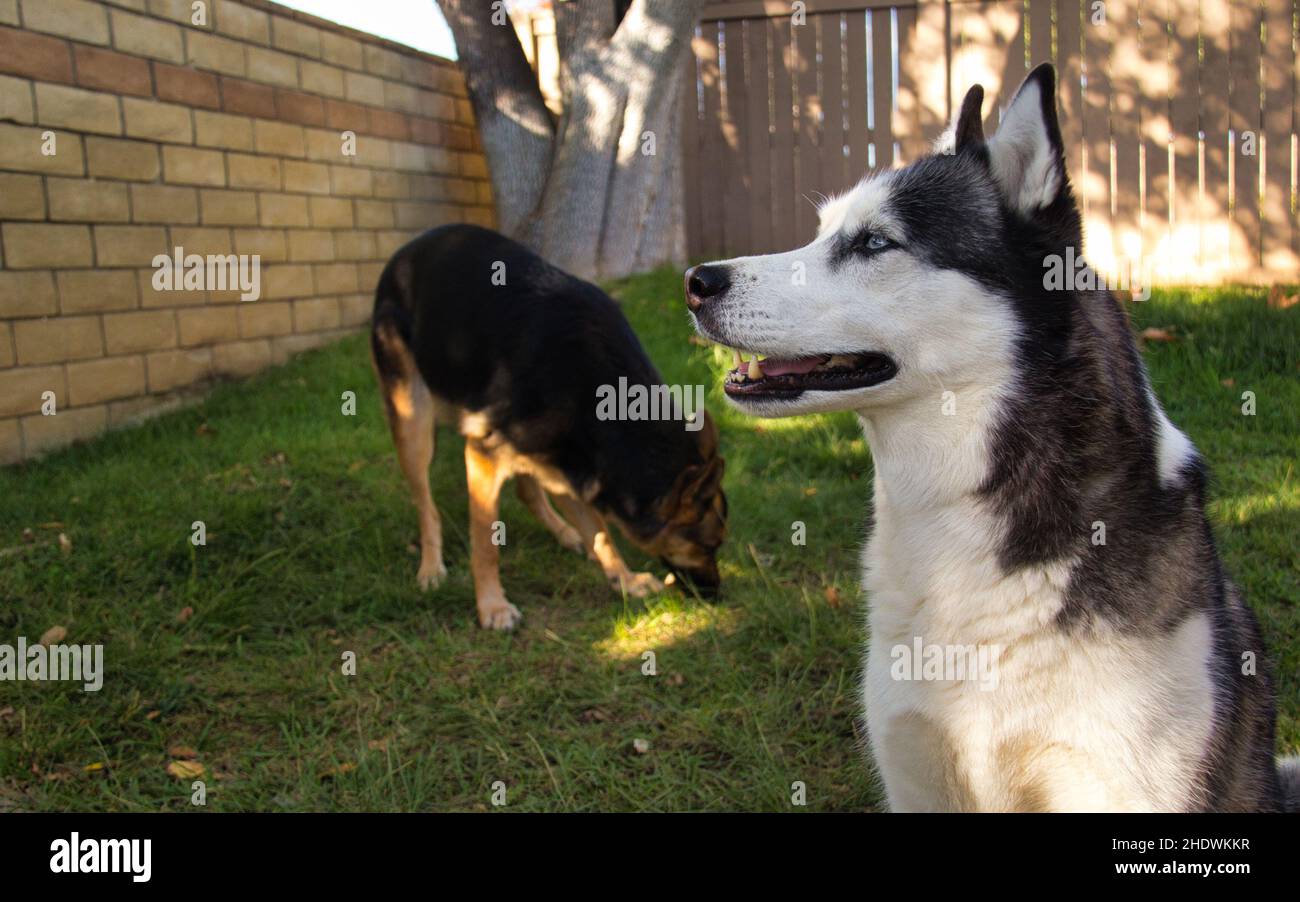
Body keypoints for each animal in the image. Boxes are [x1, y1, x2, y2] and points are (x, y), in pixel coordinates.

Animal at [371, 223, 728, 631]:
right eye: (707, 545)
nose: (718, 595)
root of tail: (407, 249)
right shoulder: (485, 454)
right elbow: (485, 544)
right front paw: (492, 606)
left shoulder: (575, 466)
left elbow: (601, 532)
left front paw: (624, 579)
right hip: (413, 423)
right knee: (425, 504)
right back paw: (431, 567)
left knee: (529, 491)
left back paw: (565, 533)